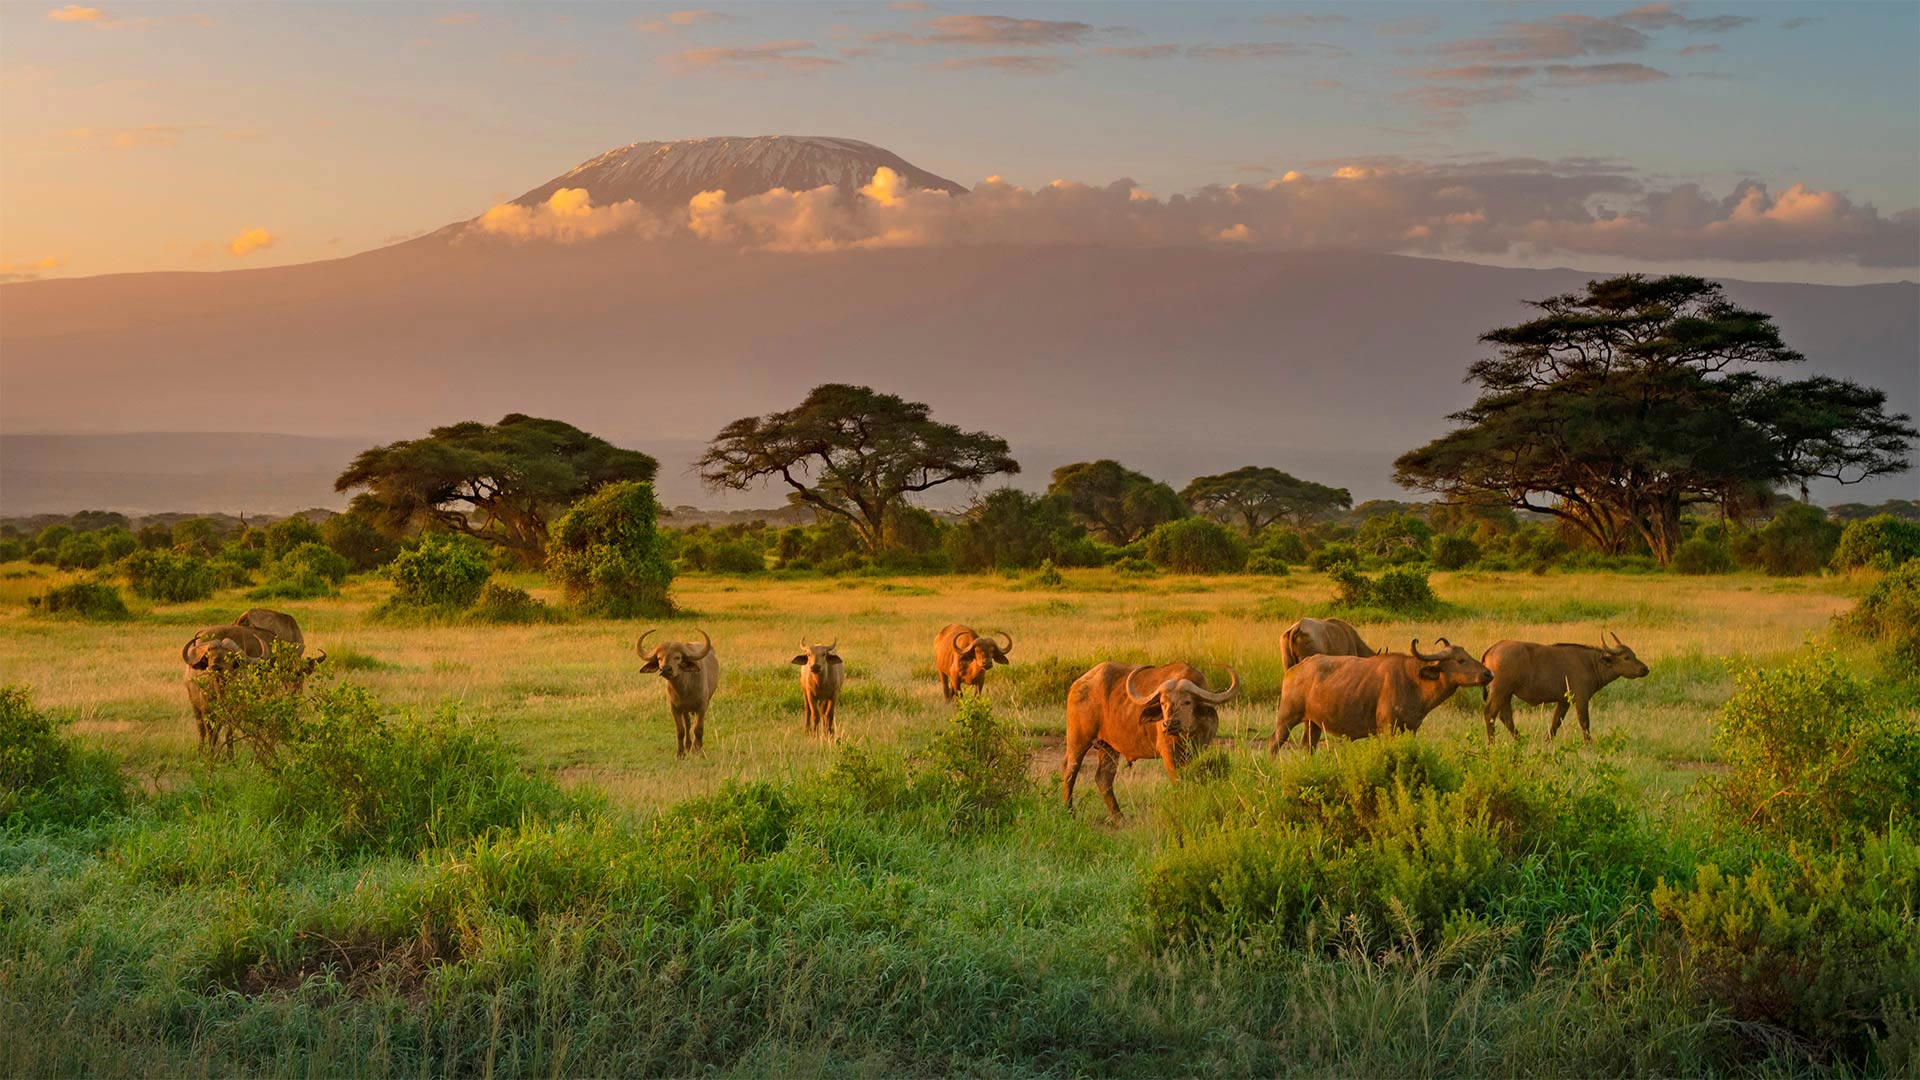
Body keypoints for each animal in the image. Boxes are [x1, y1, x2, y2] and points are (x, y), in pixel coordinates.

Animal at [1067, 657, 1244, 814]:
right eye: (1162, 703)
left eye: (1187, 702)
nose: (1169, 724)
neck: (1187, 732)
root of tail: (1077, 684)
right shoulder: (1168, 753)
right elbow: (1179, 781)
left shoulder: (1199, 750)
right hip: (1078, 740)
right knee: (1070, 772)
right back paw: (1069, 812)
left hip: (1108, 747)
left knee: (1104, 779)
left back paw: (1118, 817)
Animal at [1274, 634, 1497, 753]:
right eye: (1460, 660)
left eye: (1468, 655)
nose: (1489, 673)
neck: (1413, 680)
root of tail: (1293, 670)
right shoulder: (1387, 729)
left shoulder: (1411, 729)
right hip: (1285, 720)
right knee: (1273, 744)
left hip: (1313, 724)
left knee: (1307, 746)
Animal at [1482, 630, 1651, 737]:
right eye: (1626, 658)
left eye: (1634, 655)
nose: (1645, 669)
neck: (1590, 663)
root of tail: (1493, 649)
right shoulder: (1581, 699)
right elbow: (1584, 723)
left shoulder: (1564, 701)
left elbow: (1555, 723)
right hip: (1500, 691)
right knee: (1490, 713)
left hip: (1507, 694)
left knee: (1506, 718)